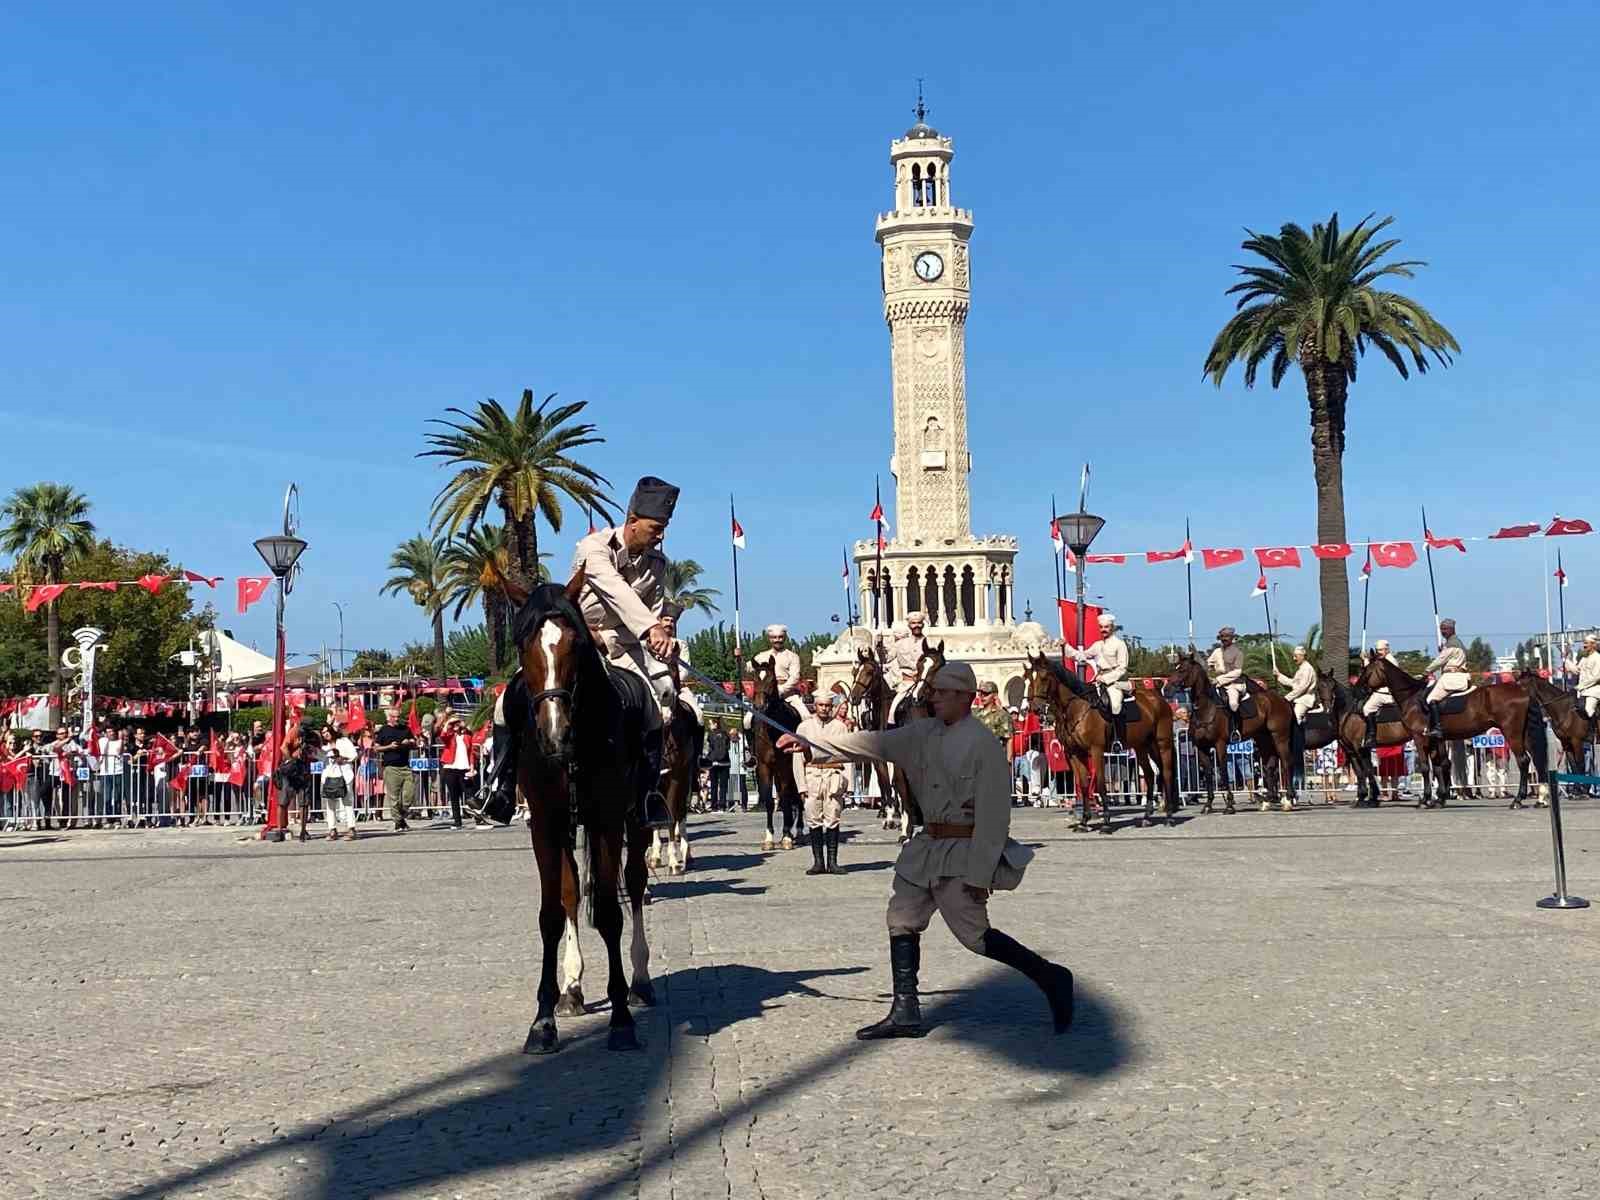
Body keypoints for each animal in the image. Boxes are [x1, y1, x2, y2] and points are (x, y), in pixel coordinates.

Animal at [496, 569, 652, 1056]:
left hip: (638, 819)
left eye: (576, 645)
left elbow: (609, 912)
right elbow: (552, 912)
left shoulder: (606, 819)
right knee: (570, 897)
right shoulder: (546, 825)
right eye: (522, 644)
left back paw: (641, 981)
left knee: (634, 886)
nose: (554, 733)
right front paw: (544, 1018)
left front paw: (620, 1019)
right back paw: (573, 988)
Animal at [745, 662, 800, 851]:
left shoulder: (785, 767)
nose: (759, 706)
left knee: (797, 797)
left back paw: (798, 830)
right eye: (754, 679)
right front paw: (769, 838)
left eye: (771, 680)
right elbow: (770, 800)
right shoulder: (764, 766)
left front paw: (786, 836)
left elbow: (785, 798)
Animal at [1024, 652, 1177, 832]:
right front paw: (1084, 821)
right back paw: (1146, 817)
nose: (1035, 708)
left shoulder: (1096, 750)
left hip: (1163, 743)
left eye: (1044, 677)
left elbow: (1100, 783)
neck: (1077, 708)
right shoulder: (1074, 753)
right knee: (1150, 775)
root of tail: (1158, 699)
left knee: (1166, 773)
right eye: (1028, 677)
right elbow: (1083, 784)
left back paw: (1169, 816)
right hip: (1143, 746)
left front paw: (1106, 822)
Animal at [1171, 652, 1292, 812]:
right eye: (1175, 667)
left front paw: (1229, 804)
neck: (1205, 708)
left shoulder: (1220, 744)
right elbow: (1209, 773)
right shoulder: (1201, 748)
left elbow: (1223, 771)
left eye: (1183, 670)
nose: (1169, 686)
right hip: (1264, 740)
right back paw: (1268, 800)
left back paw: (1288, 800)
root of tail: (1282, 699)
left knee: (1285, 763)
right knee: (1270, 767)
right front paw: (1208, 804)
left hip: (1279, 737)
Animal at [1356, 652, 1542, 812]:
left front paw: (1426, 800)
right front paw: (1439, 799)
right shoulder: (1434, 740)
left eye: (1367, 670)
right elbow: (1440, 766)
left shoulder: (1419, 738)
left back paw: (1518, 800)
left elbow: (1426, 767)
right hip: (1522, 734)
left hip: (1512, 733)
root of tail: (1522, 691)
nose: (1358, 689)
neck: (1412, 697)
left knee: (1523, 761)